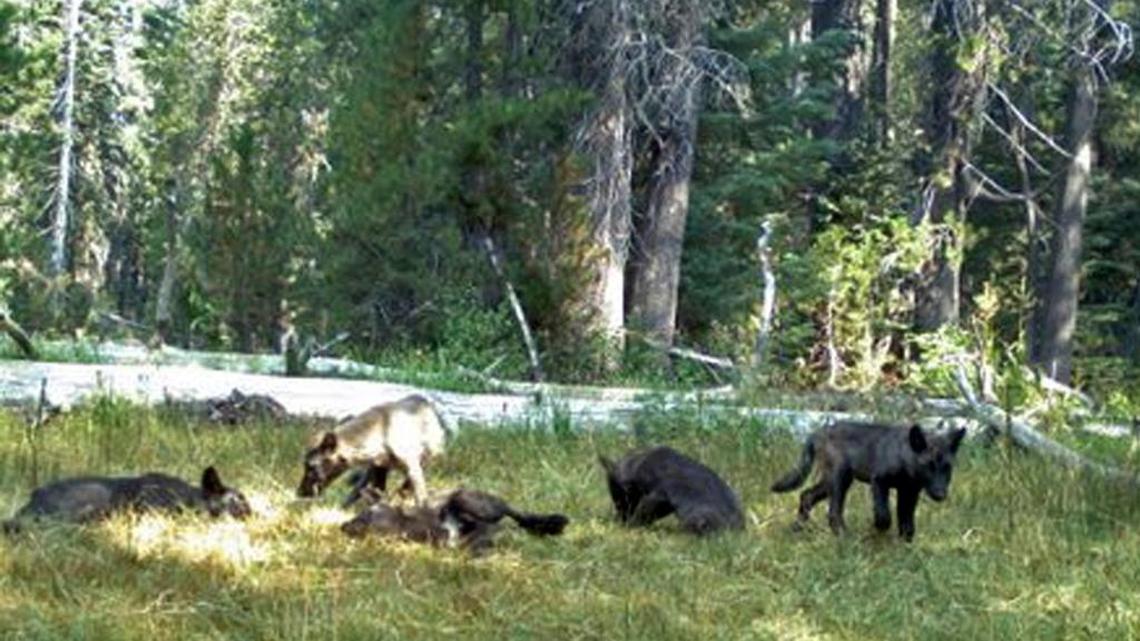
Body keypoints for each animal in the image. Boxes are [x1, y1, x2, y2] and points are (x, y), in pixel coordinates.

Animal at [296, 394, 448, 507]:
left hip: (427, 458)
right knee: (358, 490)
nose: (299, 492)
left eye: (311, 466)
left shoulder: (412, 467)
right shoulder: (379, 468)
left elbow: (420, 498)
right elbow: (375, 494)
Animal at [770, 421, 967, 541]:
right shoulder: (879, 481)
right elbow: (884, 515)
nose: (941, 495)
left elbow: (907, 523)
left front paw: (905, 546)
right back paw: (845, 538)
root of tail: (817, 432)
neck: (904, 458)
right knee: (833, 512)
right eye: (928, 466)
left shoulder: (909, 492)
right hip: (839, 479)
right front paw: (877, 532)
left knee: (806, 495)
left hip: (832, 481)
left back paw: (797, 529)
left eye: (947, 468)